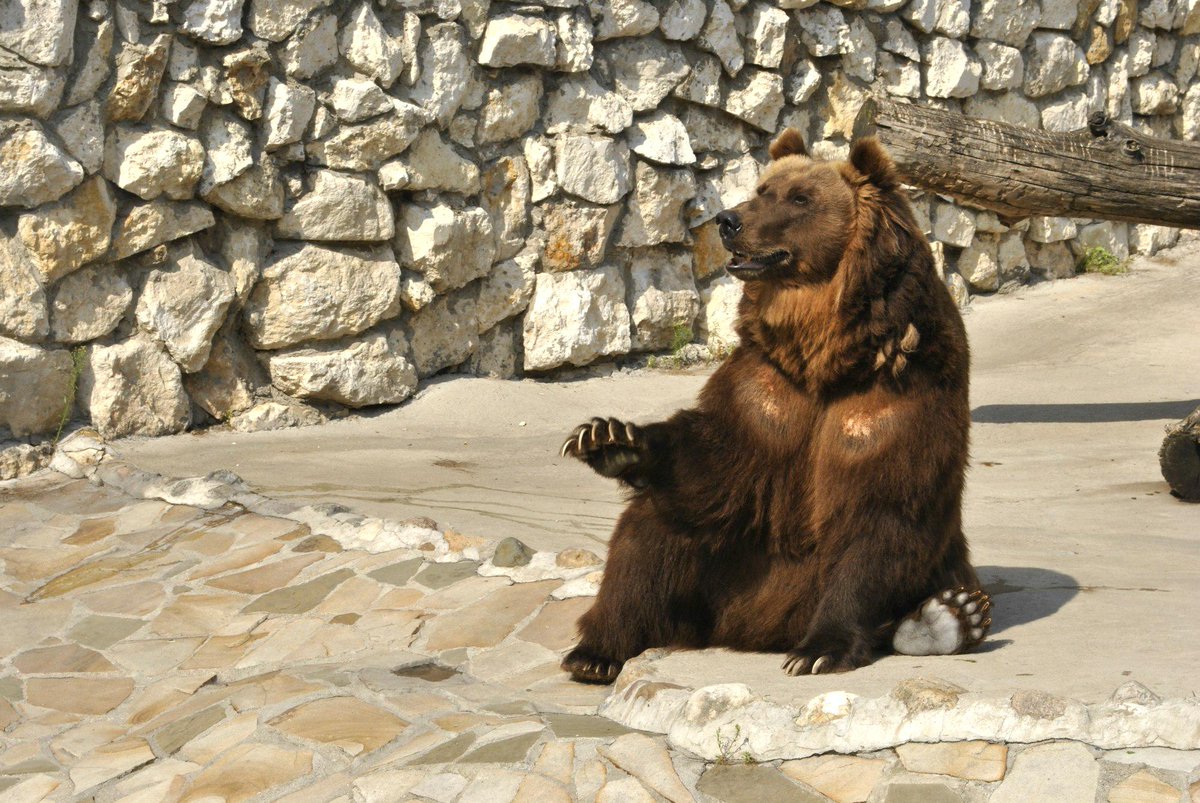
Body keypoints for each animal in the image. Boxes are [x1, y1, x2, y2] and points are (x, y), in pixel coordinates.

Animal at [556, 131, 988, 681]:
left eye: (800, 198)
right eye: (763, 189)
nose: (728, 220)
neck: (828, 353)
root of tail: (746, 630)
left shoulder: (897, 394)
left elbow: (880, 512)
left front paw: (819, 649)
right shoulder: (768, 389)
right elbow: (717, 456)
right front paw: (610, 438)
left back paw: (948, 617)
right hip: (727, 579)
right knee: (652, 526)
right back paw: (596, 650)